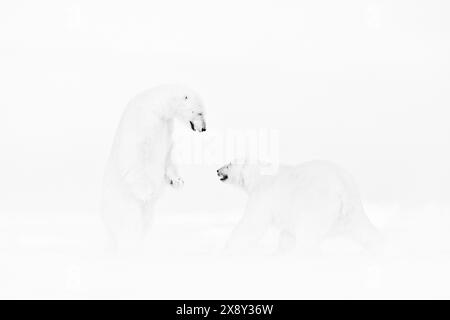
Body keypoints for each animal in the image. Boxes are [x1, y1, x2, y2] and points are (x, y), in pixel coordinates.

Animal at [101, 85, 206, 250]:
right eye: (199, 112)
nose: (204, 129)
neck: (158, 107)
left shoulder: (166, 127)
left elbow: (167, 153)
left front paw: (177, 181)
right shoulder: (143, 121)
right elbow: (134, 154)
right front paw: (147, 191)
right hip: (123, 204)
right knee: (130, 227)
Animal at [216, 160, 382, 255]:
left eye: (229, 164)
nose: (217, 170)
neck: (258, 176)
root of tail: (342, 185)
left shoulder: (263, 196)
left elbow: (252, 223)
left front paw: (229, 248)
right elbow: (287, 233)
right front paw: (280, 252)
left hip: (317, 204)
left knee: (308, 235)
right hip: (351, 210)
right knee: (364, 230)